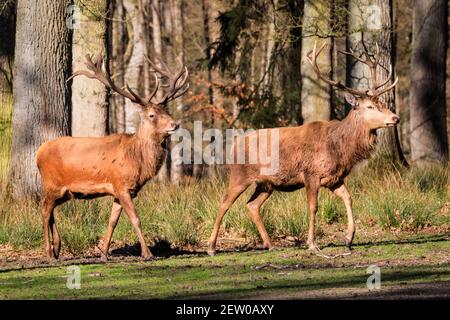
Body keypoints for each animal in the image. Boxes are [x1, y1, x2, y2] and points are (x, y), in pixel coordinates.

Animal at [36, 53, 188, 262]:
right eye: (151, 115)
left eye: (167, 111)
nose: (175, 124)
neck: (137, 161)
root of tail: (38, 153)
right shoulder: (121, 185)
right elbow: (136, 219)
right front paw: (147, 253)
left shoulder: (121, 191)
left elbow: (112, 221)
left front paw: (104, 253)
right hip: (52, 183)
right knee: (44, 209)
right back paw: (49, 253)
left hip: (65, 191)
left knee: (51, 211)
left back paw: (58, 249)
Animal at [206, 40, 400, 255]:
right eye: (369, 107)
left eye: (381, 103)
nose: (395, 118)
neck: (339, 150)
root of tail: (232, 146)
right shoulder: (311, 174)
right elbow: (313, 206)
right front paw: (313, 244)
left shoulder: (335, 178)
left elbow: (349, 198)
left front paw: (349, 238)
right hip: (240, 175)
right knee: (224, 203)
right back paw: (211, 247)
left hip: (266, 183)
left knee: (252, 205)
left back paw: (270, 244)